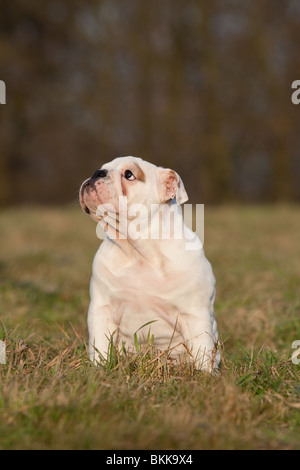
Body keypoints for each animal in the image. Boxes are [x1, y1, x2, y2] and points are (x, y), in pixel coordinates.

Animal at [79, 156, 220, 372]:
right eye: (102, 168)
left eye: (129, 174)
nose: (97, 173)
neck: (138, 251)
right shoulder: (102, 310)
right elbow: (100, 345)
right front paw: (99, 369)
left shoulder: (195, 314)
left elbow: (201, 350)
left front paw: (204, 375)